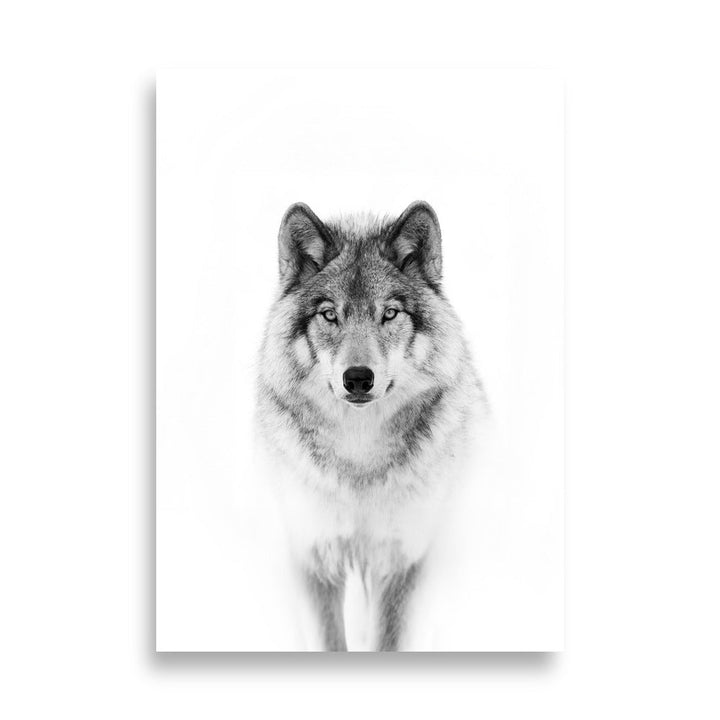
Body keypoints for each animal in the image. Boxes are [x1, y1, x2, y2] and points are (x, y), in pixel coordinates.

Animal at [256, 201, 488, 651]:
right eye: (330, 315)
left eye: (389, 313)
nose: (359, 378)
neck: (358, 458)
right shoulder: (315, 556)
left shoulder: (402, 561)